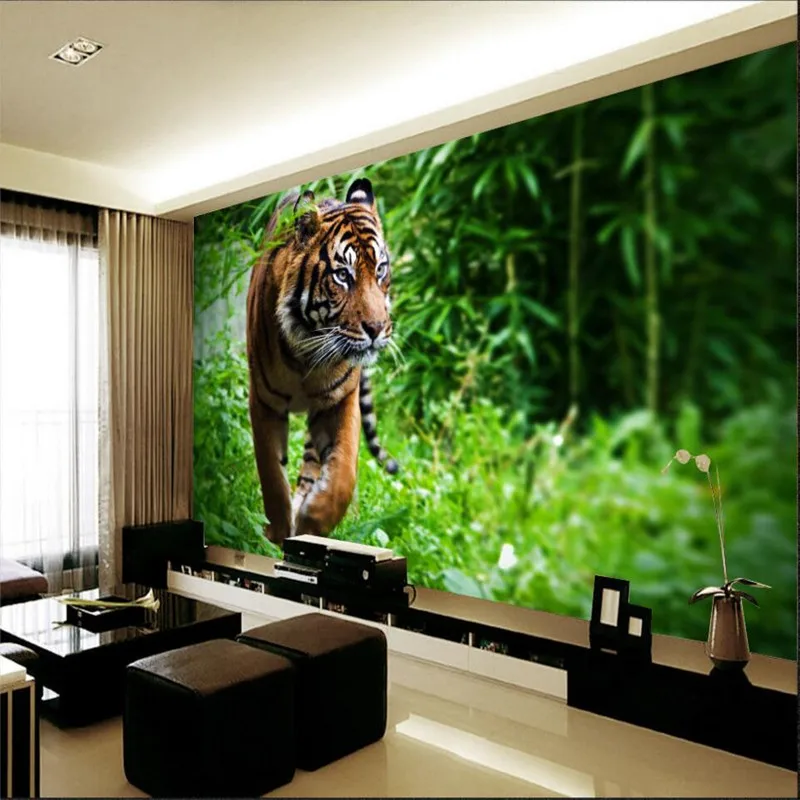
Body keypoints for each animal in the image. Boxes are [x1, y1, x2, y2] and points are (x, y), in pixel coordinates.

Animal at [246, 178, 398, 546]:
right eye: (343, 275)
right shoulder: (264, 401)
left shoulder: (340, 401)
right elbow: (271, 473)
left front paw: (312, 522)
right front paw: (277, 532)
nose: (377, 328)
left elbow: (341, 476)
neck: (308, 355)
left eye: (380, 270)